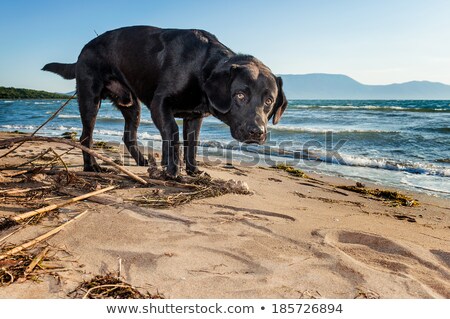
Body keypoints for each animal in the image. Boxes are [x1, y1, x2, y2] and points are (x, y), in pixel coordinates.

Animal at [43, 25, 288, 178]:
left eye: (269, 100)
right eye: (240, 95)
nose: (257, 132)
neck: (202, 65)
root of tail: (83, 50)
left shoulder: (194, 117)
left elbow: (192, 144)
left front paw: (192, 170)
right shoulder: (159, 104)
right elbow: (173, 134)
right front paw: (173, 171)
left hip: (132, 105)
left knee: (128, 136)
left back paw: (142, 161)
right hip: (90, 99)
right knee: (86, 136)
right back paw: (92, 166)